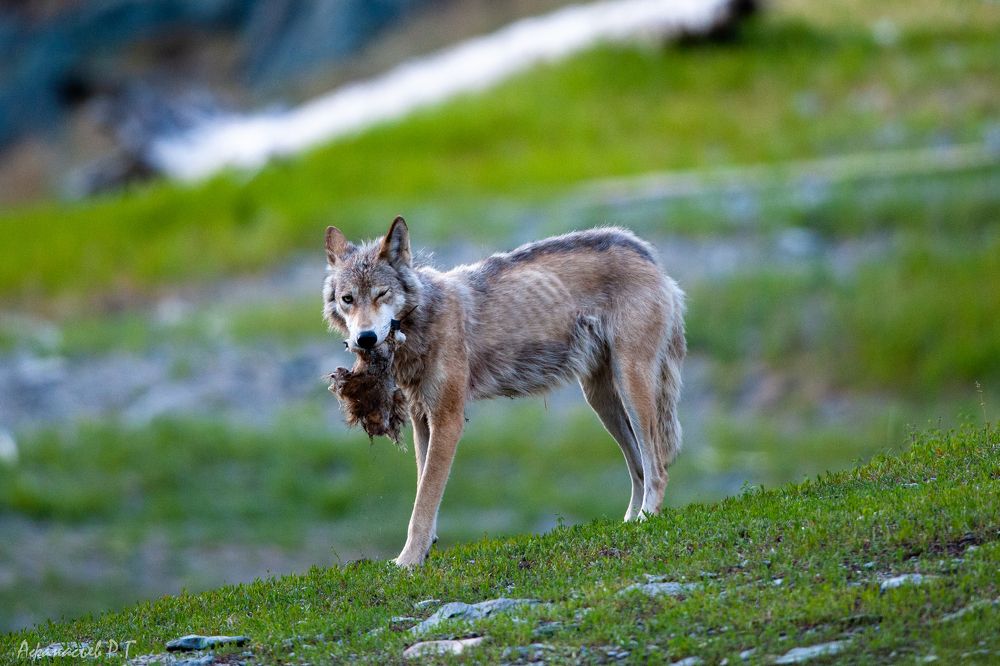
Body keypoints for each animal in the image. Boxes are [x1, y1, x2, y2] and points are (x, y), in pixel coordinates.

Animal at [323, 217, 686, 567]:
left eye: (382, 294)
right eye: (348, 299)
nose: (365, 338)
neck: (423, 321)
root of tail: (643, 249)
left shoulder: (448, 420)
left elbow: (423, 503)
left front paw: (407, 561)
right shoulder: (421, 420)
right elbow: (423, 493)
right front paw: (422, 552)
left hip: (631, 387)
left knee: (657, 469)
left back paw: (646, 518)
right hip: (601, 400)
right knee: (638, 468)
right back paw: (630, 523)